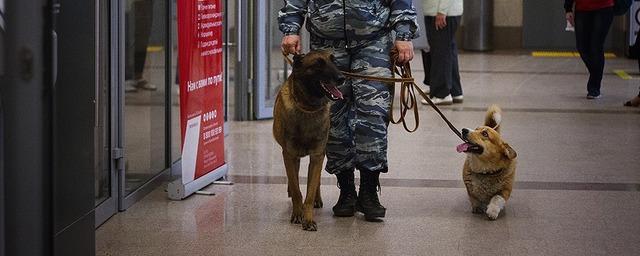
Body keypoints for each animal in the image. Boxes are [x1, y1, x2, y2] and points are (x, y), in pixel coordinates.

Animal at [274, 49, 348, 230]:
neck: (308, 107)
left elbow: (310, 189)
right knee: (293, 176)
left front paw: (308, 218)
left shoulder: (317, 156)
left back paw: (317, 199)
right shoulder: (289, 154)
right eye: (318, 64)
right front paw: (297, 213)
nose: (342, 78)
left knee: (316, 180)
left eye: (333, 61)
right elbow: (296, 189)